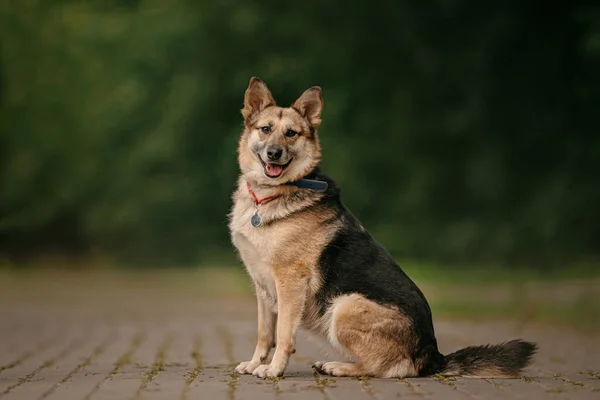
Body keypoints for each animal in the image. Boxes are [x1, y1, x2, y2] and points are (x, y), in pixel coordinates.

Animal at [227, 76, 536, 378]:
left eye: (291, 133)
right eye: (265, 129)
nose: (274, 153)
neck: (268, 197)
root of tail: (433, 355)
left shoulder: (289, 283)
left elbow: (283, 334)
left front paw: (274, 369)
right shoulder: (263, 287)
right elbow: (265, 333)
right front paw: (255, 363)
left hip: (344, 306)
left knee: (383, 368)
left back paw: (337, 366)